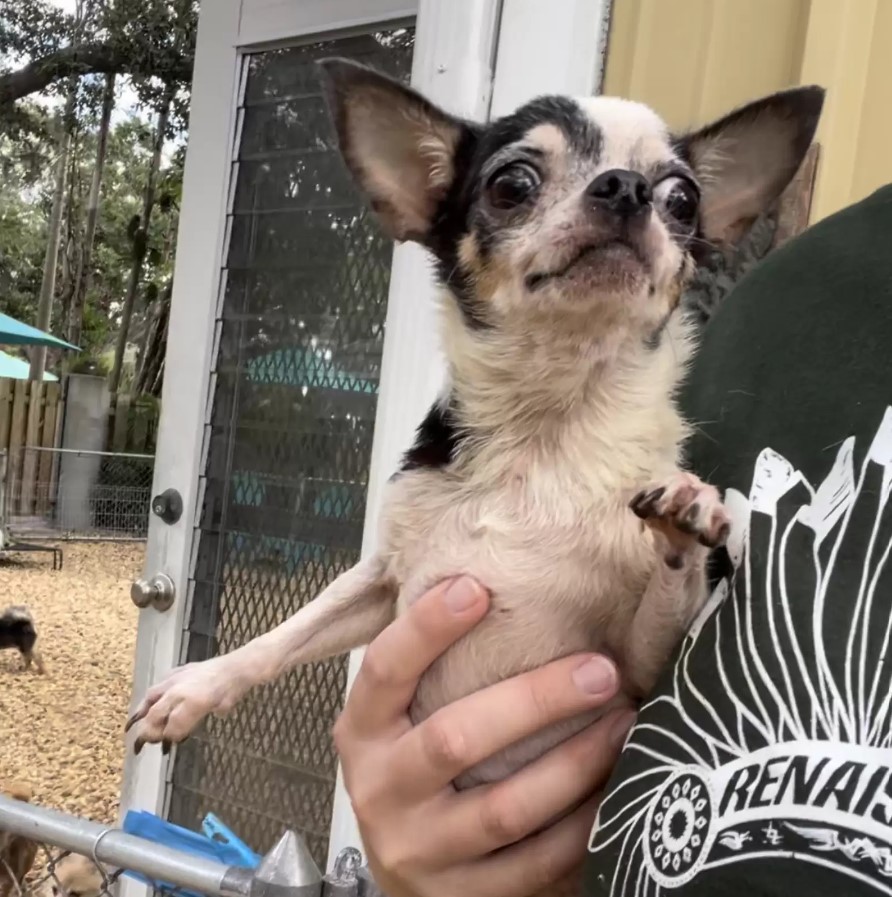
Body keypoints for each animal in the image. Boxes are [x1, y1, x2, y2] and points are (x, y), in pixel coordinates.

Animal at [127, 61, 824, 792]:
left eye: (684, 199)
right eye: (511, 184)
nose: (627, 187)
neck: (545, 426)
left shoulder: (634, 671)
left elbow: (672, 583)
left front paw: (685, 515)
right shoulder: (386, 581)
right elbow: (291, 629)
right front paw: (198, 686)